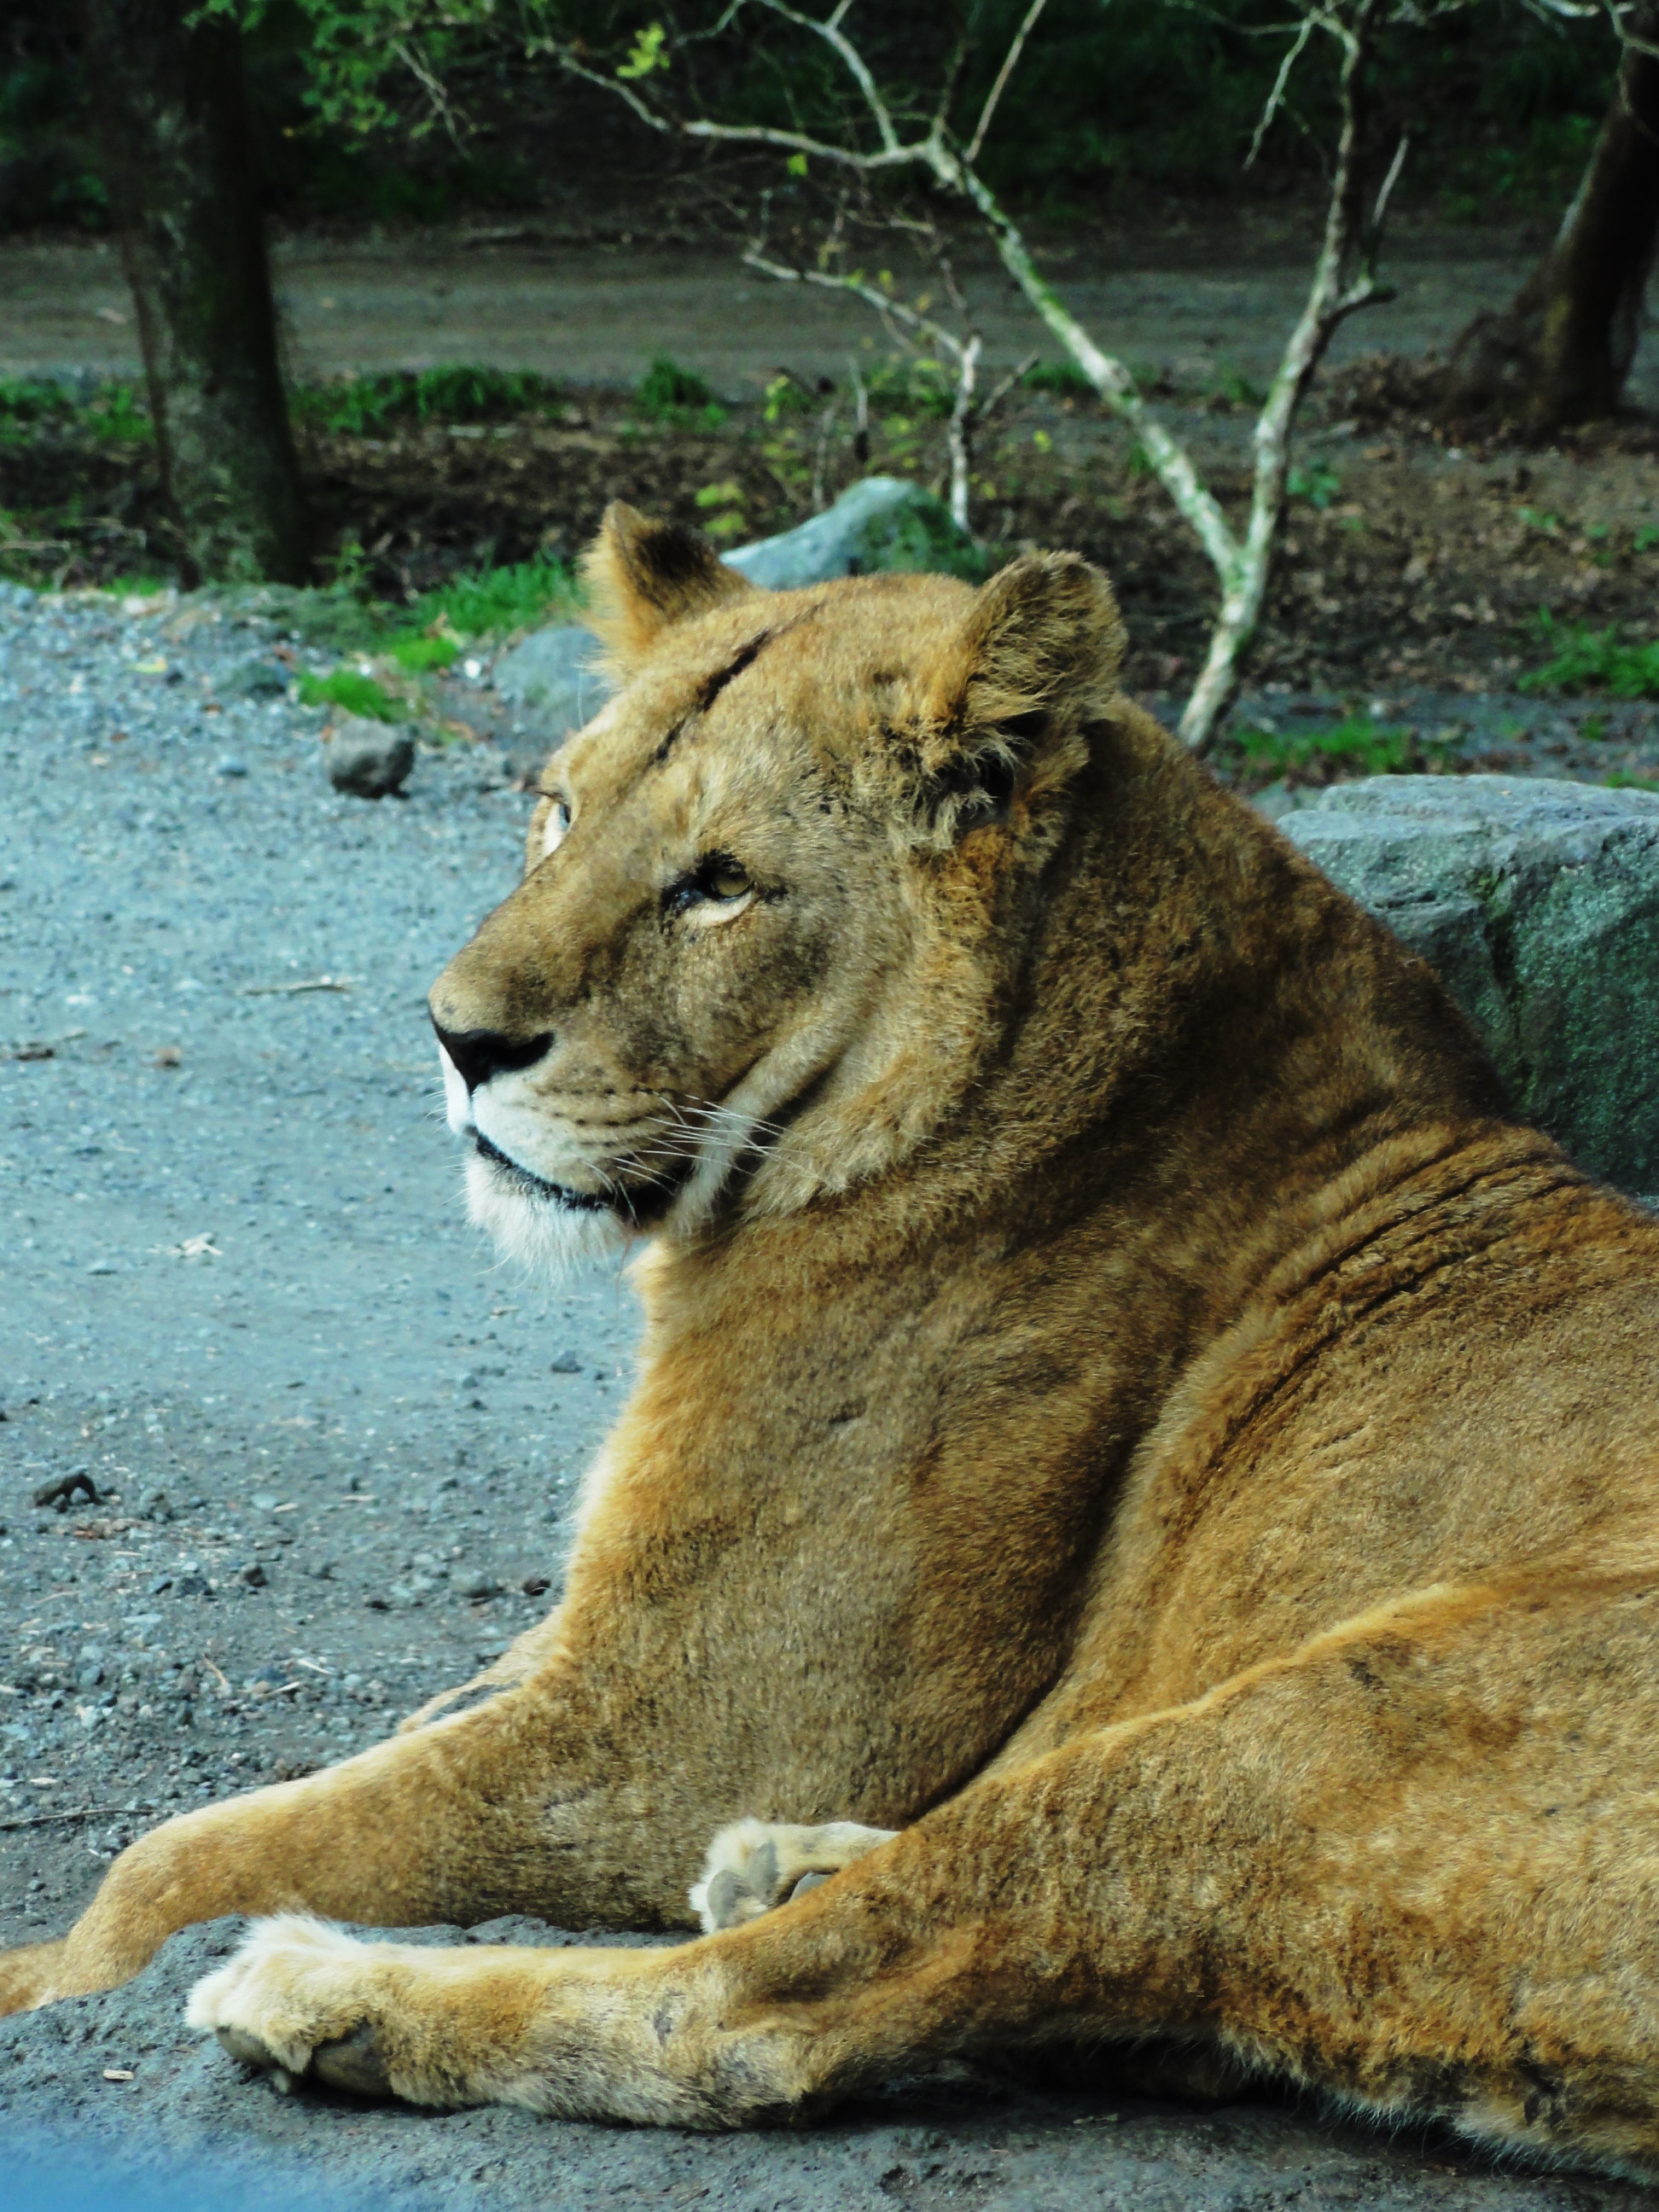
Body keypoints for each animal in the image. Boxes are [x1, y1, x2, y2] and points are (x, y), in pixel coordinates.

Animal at [6, 501, 1659, 2177]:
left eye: (719, 884)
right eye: (554, 813)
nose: (456, 1039)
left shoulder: (681, 1731)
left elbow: (183, 1856)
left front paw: (46, 1976)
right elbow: (401, 1726)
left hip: (1318, 1727)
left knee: (757, 2014)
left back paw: (321, 1993)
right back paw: (786, 1868)